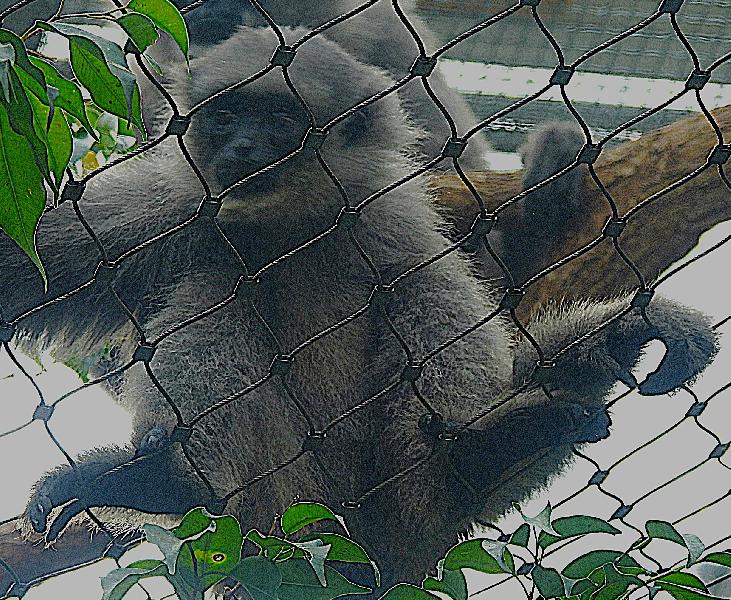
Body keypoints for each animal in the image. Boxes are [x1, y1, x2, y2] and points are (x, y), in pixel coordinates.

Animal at [0, 23, 718, 596]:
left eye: (280, 123)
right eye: (227, 117)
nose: (241, 149)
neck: (288, 226)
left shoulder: (387, 215)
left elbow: (430, 287)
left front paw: (623, 333)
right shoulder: (169, 209)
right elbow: (29, 268)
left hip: (382, 485)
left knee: (412, 301)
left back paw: (473, 457)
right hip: (283, 498)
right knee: (218, 285)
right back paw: (169, 484)